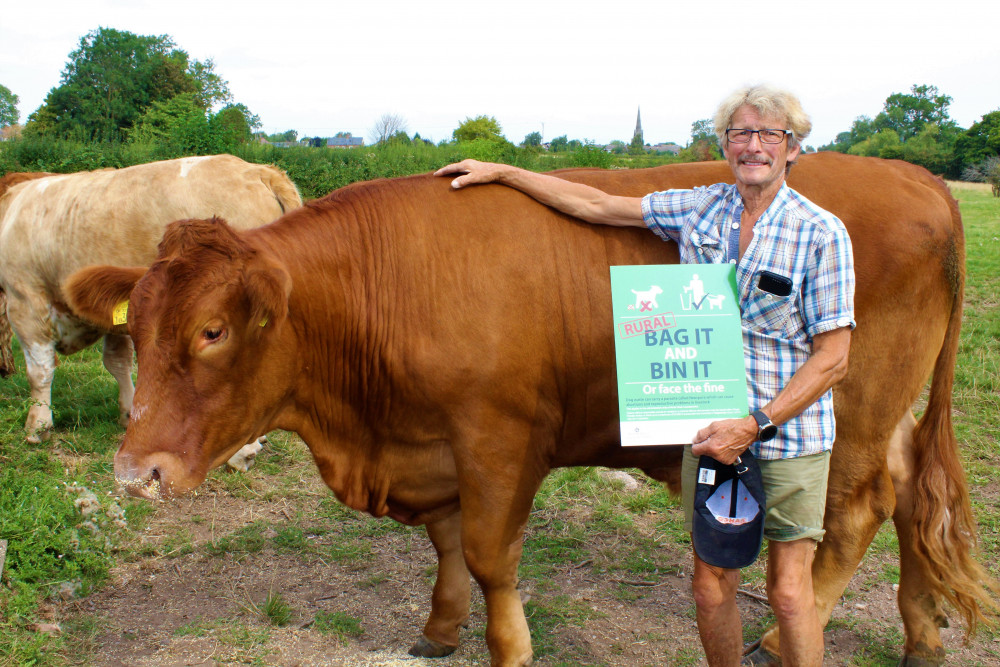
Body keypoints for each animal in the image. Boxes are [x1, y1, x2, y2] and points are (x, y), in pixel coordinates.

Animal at [1, 155, 302, 464]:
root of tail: (258, 170)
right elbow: (117, 361)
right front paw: (129, 412)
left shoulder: (24, 299)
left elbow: (39, 369)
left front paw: (38, 425)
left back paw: (242, 452)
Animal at [66, 151, 996, 667]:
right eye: (137, 330)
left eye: (213, 330)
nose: (135, 469)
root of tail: (912, 176)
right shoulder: (433, 444)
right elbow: (447, 544)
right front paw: (439, 627)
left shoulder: (498, 439)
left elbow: (487, 553)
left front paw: (508, 646)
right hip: (889, 409)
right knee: (910, 491)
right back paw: (921, 633)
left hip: (858, 405)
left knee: (864, 505)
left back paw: (781, 637)